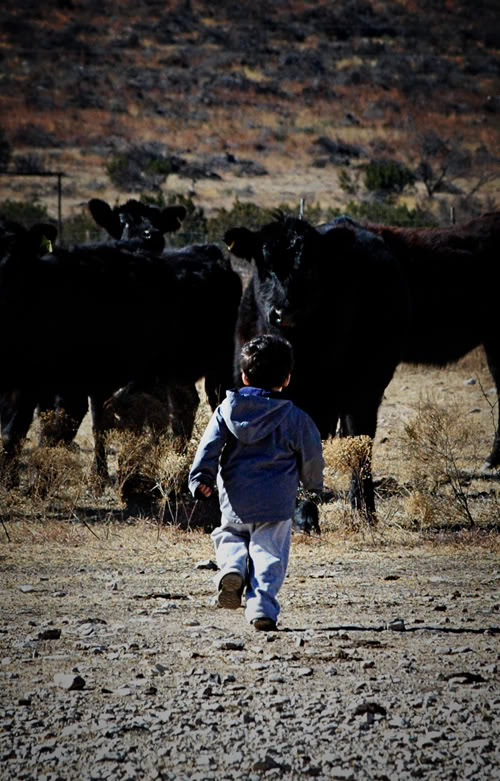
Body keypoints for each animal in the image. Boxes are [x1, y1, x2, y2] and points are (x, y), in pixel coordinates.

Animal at [225, 212, 410, 518]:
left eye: (309, 266)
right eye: (263, 264)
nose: (284, 311)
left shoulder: (323, 399)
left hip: (365, 390)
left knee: (360, 441)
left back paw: (363, 507)